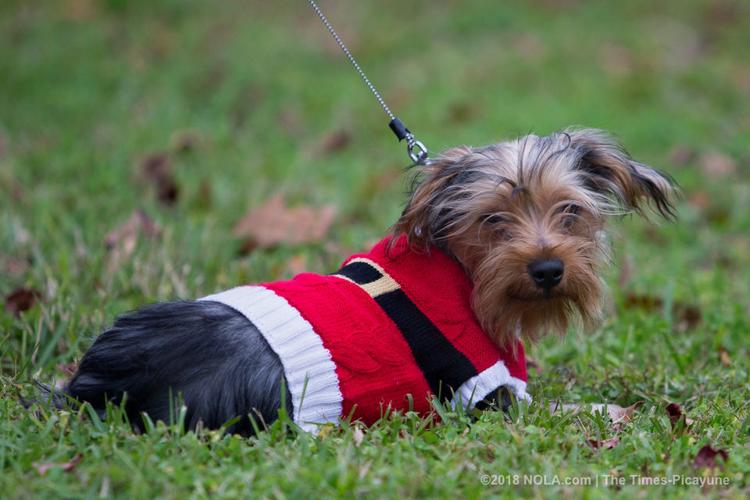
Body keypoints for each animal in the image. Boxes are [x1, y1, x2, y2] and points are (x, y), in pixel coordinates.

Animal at [47, 128, 680, 434]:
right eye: (491, 220)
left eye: (570, 211)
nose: (548, 269)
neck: (463, 278)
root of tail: (103, 380)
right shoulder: (484, 394)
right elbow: (565, 407)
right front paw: (621, 413)